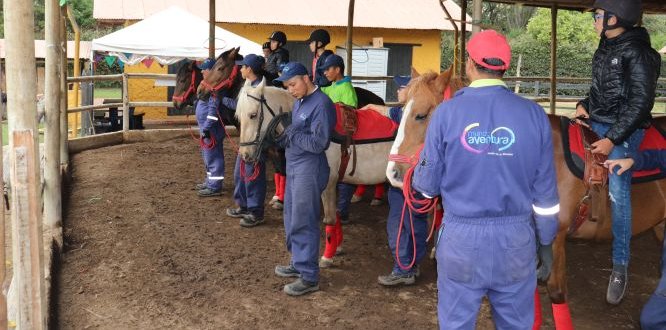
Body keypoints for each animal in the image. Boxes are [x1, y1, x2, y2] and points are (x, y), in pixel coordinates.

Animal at [233, 78, 392, 268]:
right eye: (238, 117)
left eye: (253, 115)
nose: (245, 156)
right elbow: (335, 216)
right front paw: (338, 247)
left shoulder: (329, 183)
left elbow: (330, 219)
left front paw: (327, 256)